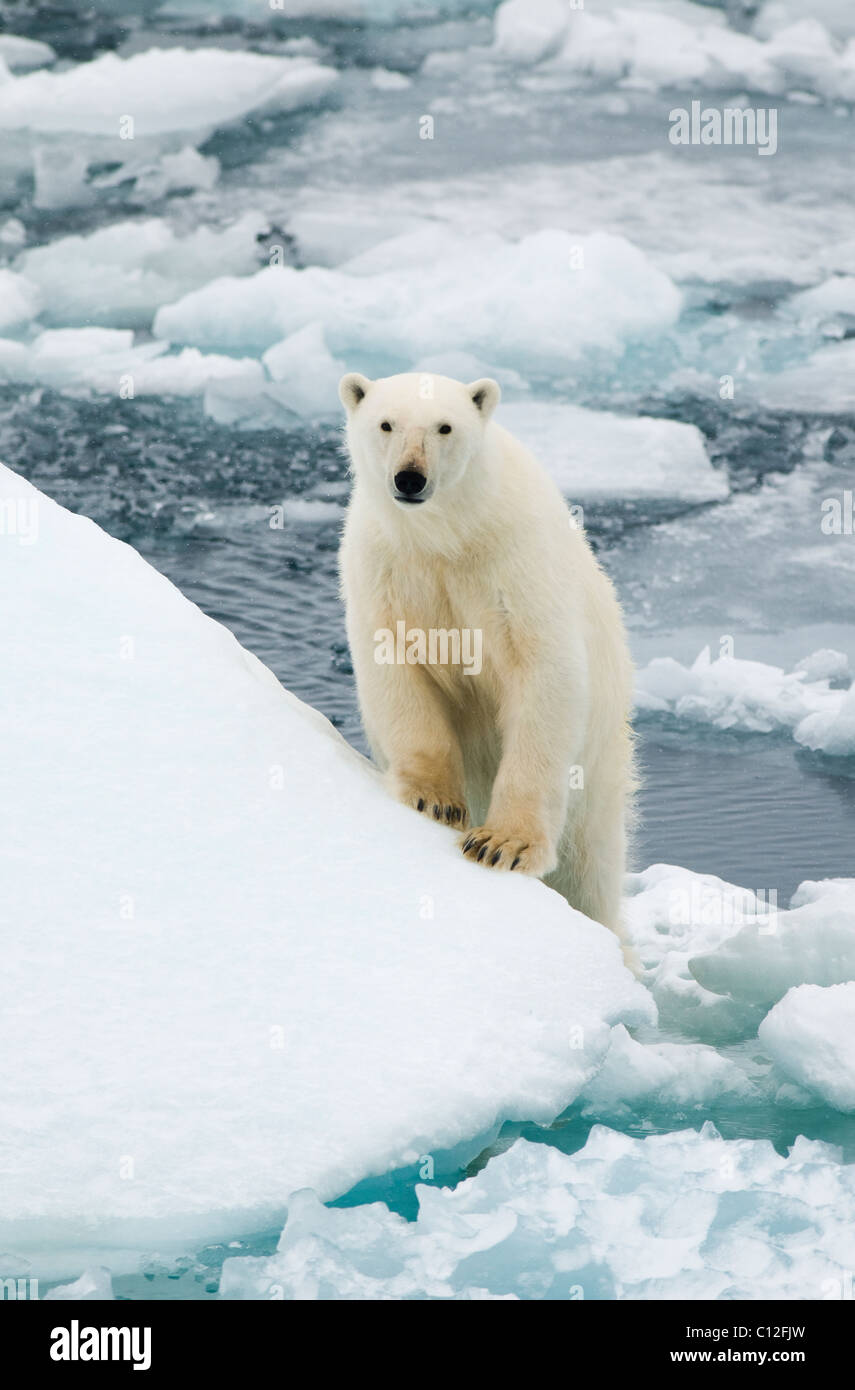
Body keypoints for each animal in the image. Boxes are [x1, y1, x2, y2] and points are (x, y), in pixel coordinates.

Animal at [337, 369, 639, 956]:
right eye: (386, 423)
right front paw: (437, 802)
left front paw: (502, 845)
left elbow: (543, 676)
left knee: (590, 875)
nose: (410, 478)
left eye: (444, 426)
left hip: (598, 778)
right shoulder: (385, 565)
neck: (448, 532)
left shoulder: (515, 564)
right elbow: (396, 672)